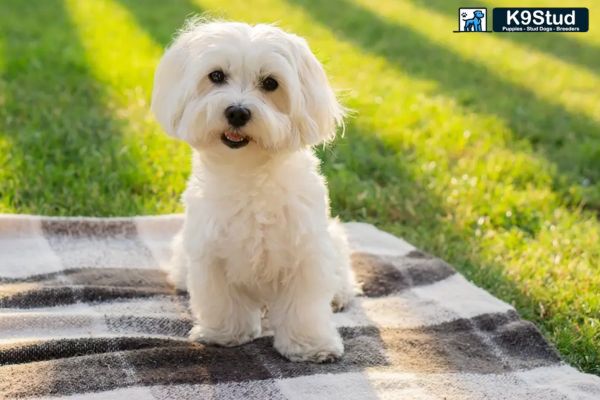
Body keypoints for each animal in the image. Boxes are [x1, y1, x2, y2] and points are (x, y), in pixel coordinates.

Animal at [152, 20, 354, 362]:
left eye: (271, 83)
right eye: (216, 76)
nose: (237, 112)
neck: (247, 173)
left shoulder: (306, 251)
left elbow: (305, 306)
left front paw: (310, 344)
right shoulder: (210, 251)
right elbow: (222, 300)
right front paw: (225, 333)